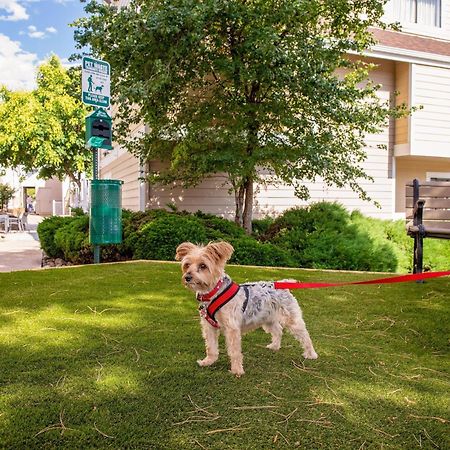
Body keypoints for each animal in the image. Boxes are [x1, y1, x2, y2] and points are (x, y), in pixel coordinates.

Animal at [174, 243, 318, 376]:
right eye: (187, 265)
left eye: (203, 266)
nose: (187, 277)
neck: (214, 292)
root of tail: (283, 284)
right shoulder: (209, 327)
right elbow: (211, 347)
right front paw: (208, 361)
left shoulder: (232, 329)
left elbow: (234, 351)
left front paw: (237, 370)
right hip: (268, 319)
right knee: (278, 331)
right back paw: (274, 346)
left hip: (292, 320)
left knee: (305, 336)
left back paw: (311, 353)